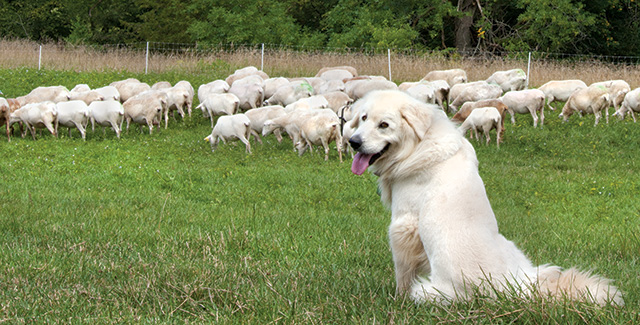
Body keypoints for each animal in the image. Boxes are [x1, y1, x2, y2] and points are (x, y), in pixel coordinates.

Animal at [348, 89, 624, 304]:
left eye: (384, 125)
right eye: (363, 118)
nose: (353, 142)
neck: (416, 146)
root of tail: (512, 290)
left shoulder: (403, 226)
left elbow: (403, 274)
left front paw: (397, 298)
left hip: (430, 292)